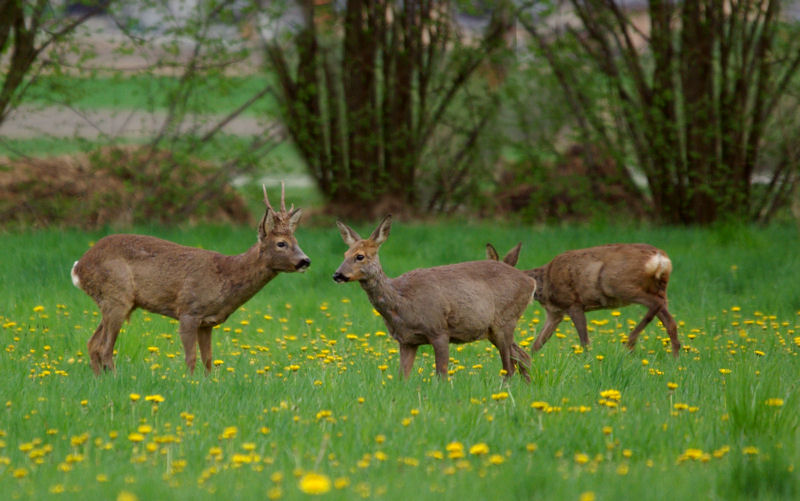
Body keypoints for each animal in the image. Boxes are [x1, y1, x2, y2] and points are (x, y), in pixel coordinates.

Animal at [72, 183, 310, 372]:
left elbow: (208, 359)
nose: (305, 260)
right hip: (116, 296)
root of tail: (79, 267)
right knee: (105, 348)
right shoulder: (188, 310)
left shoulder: (207, 322)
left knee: (92, 344)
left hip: (114, 302)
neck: (226, 276)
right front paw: (190, 383)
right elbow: (191, 358)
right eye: (281, 243)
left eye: (296, 240)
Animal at [334, 215, 536, 378]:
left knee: (509, 367)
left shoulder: (439, 330)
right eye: (344, 254)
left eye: (360, 256)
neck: (402, 301)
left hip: (505, 320)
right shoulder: (407, 340)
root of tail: (530, 281)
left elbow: (441, 376)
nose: (337, 275)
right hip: (492, 329)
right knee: (522, 356)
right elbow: (402, 377)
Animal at [484, 242, 680, 356]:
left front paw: (587, 361)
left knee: (655, 305)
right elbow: (537, 344)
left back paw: (630, 342)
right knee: (670, 321)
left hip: (619, 285)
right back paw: (675, 357)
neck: (543, 284)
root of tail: (661, 259)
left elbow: (584, 341)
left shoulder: (573, 303)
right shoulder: (555, 313)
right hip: (659, 288)